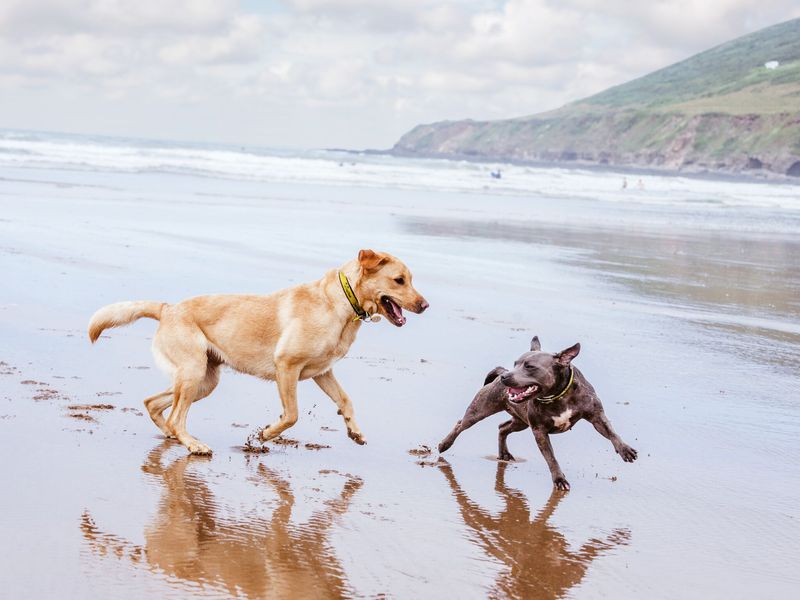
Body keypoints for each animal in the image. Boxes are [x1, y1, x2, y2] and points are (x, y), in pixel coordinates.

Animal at [438, 336, 636, 490]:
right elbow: (551, 457)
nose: (505, 377)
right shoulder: (539, 431)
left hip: (520, 422)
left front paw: (625, 450)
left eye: (529, 366)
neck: (558, 395)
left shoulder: (596, 416)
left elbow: (611, 431)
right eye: (515, 364)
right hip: (480, 410)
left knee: (503, 427)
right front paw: (559, 479)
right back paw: (445, 444)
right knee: (461, 424)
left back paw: (504, 454)